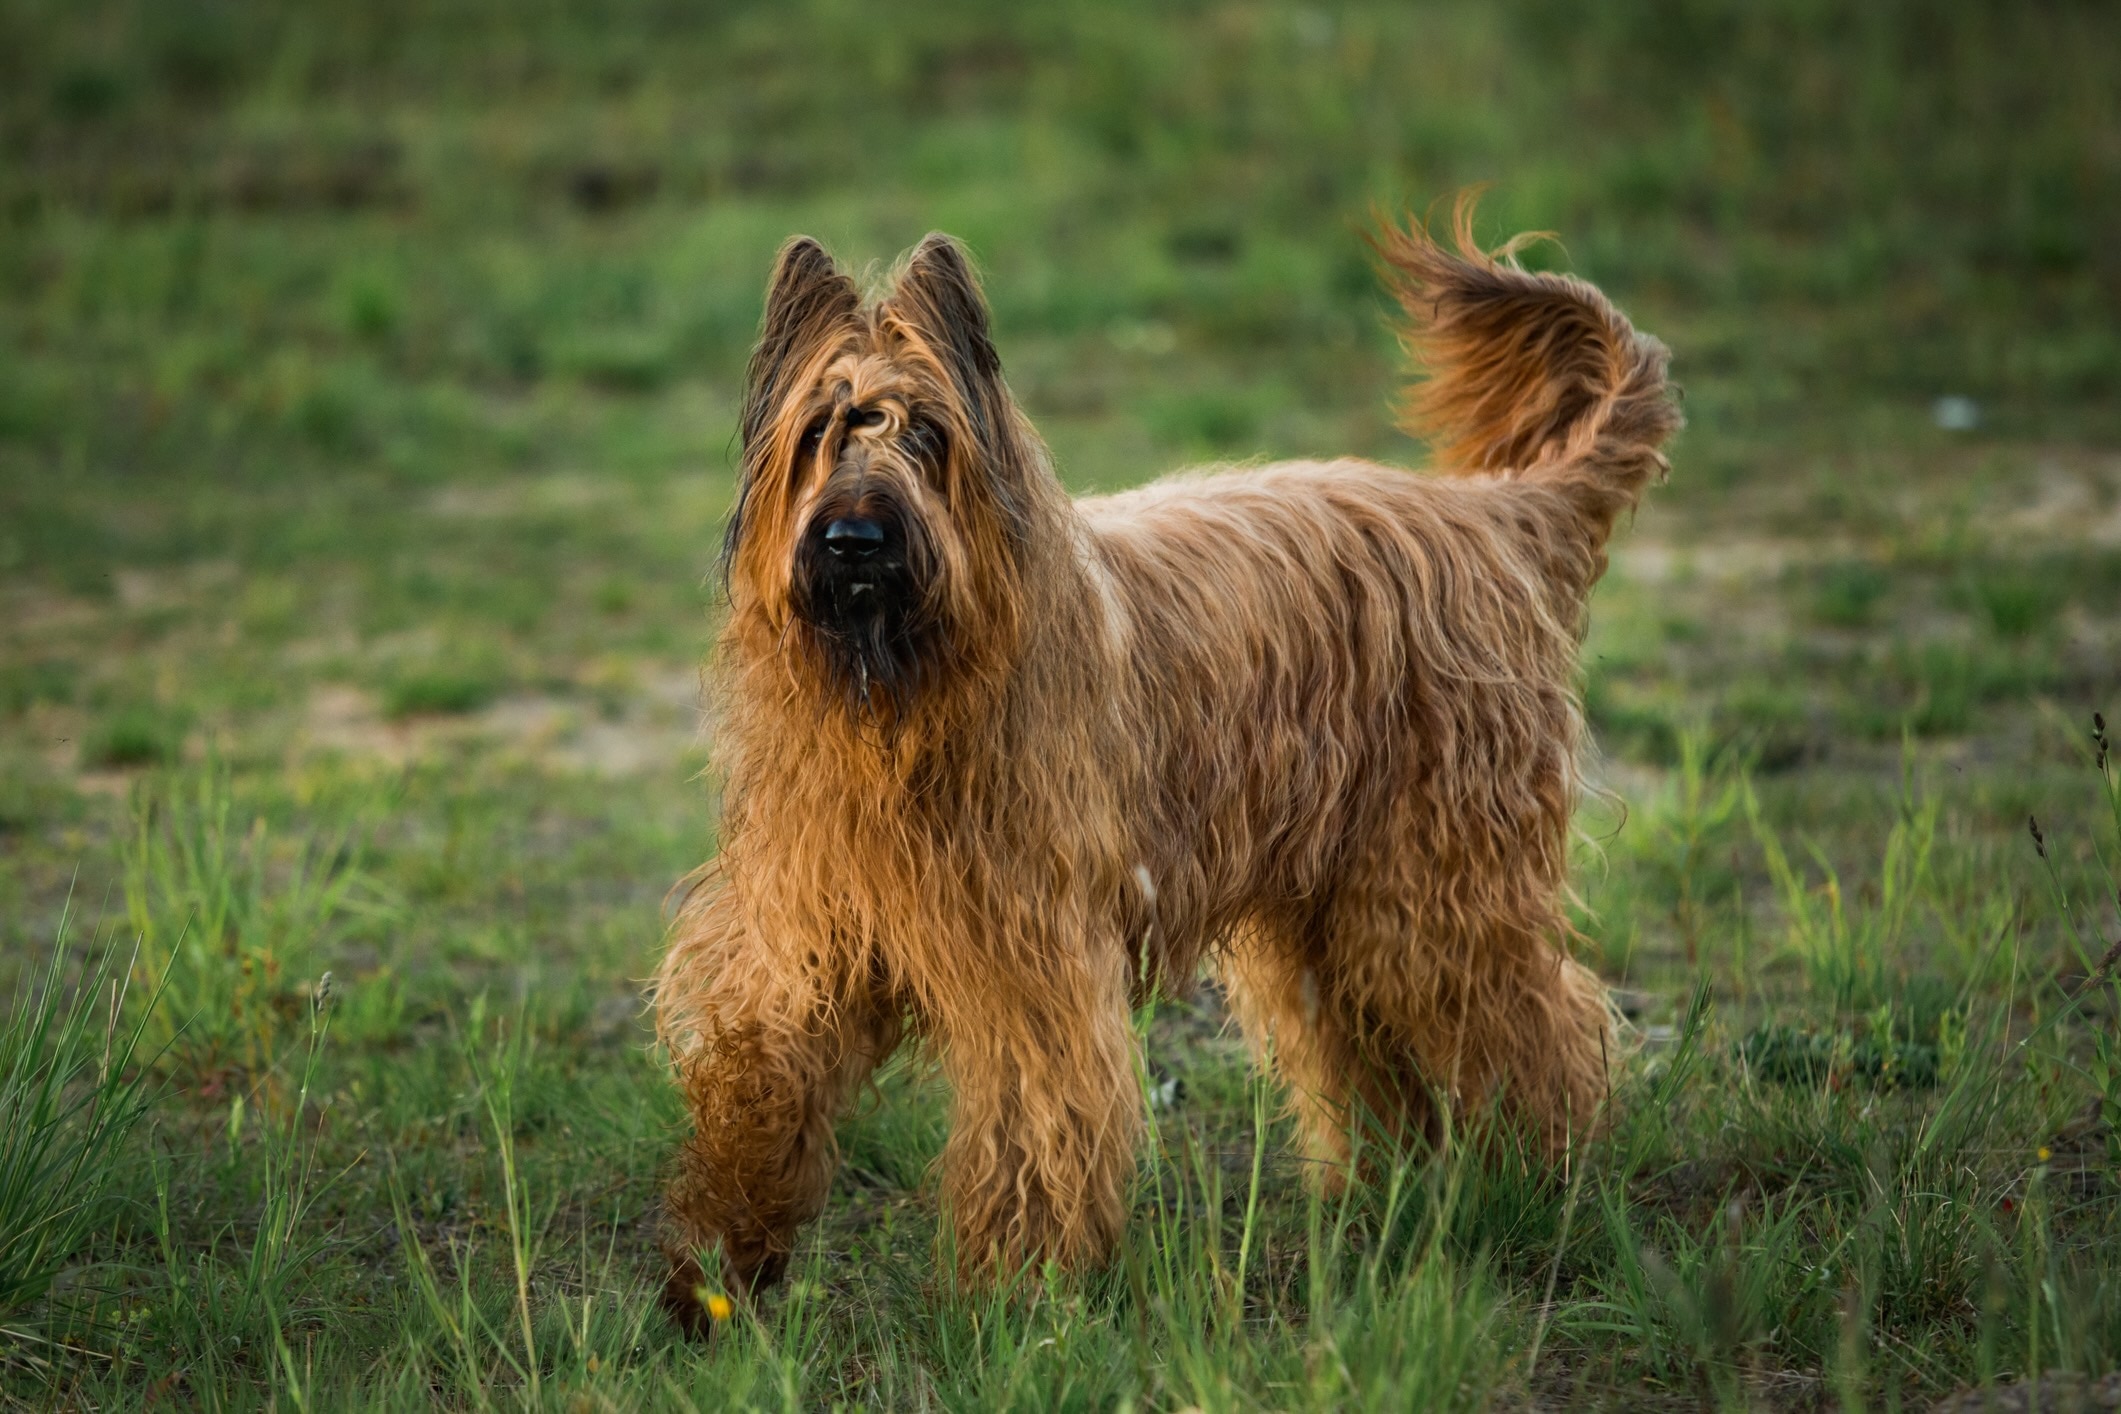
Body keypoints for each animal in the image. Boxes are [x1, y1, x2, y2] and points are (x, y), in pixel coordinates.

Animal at [653, 196, 1679, 1331]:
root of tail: (1497, 512)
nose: (854, 540)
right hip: (1330, 908)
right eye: (821, 433)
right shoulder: (809, 929)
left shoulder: (1031, 956)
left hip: (1437, 889)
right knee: (1364, 1046)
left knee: (1538, 1026)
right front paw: (718, 1262)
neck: (899, 707)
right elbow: (768, 1073)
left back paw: (1541, 1186)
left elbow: (1034, 1120)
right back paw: (1384, 1193)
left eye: (927, 434)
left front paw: (1015, 1296)